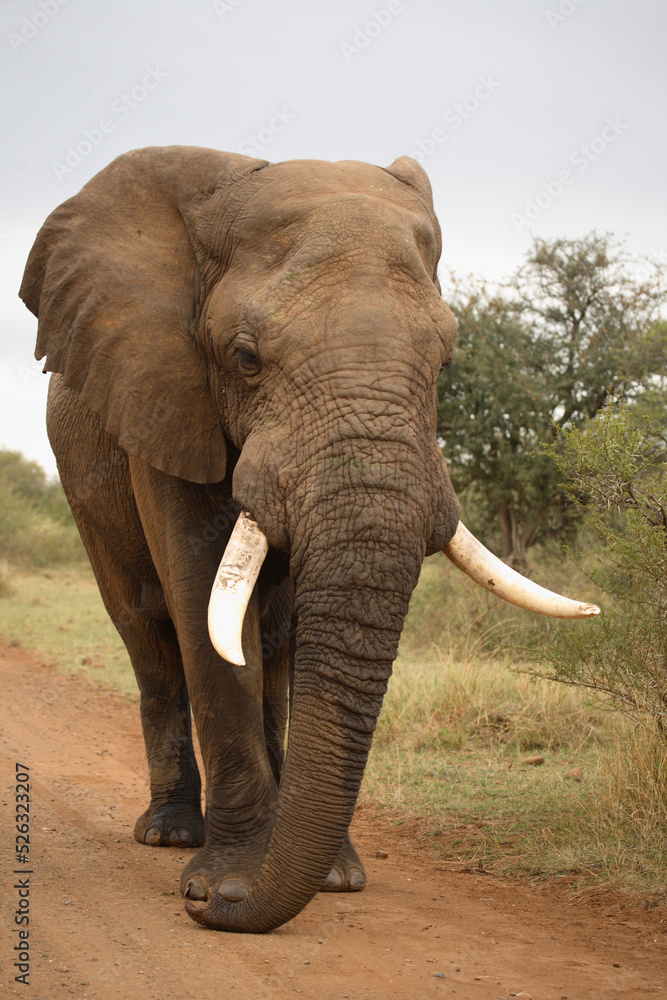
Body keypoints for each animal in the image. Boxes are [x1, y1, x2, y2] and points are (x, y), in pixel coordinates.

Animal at [20, 146, 598, 933]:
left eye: (446, 362)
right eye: (244, 358)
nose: (214, 907)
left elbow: (286, 631)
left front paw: (329, 881)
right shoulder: (164, 395)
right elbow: (199, 596)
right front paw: (226, 882)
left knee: (275, 645)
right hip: (83, 480)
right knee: (147, 630)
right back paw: (171, 835)